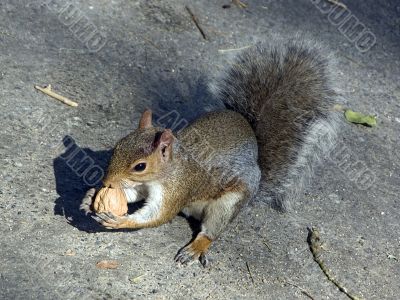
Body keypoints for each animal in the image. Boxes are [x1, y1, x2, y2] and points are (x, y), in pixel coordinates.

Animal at [83, 38, 338, 266]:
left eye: (140, 166)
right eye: (118, 146)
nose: (106, 181)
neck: (169, 169)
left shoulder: (178, 189)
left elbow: (158, 214)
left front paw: (120, 221)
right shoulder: (141, 186)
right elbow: (131, 194)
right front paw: (90, 197)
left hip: (229, 203)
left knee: (211, 230)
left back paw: (196, 247)